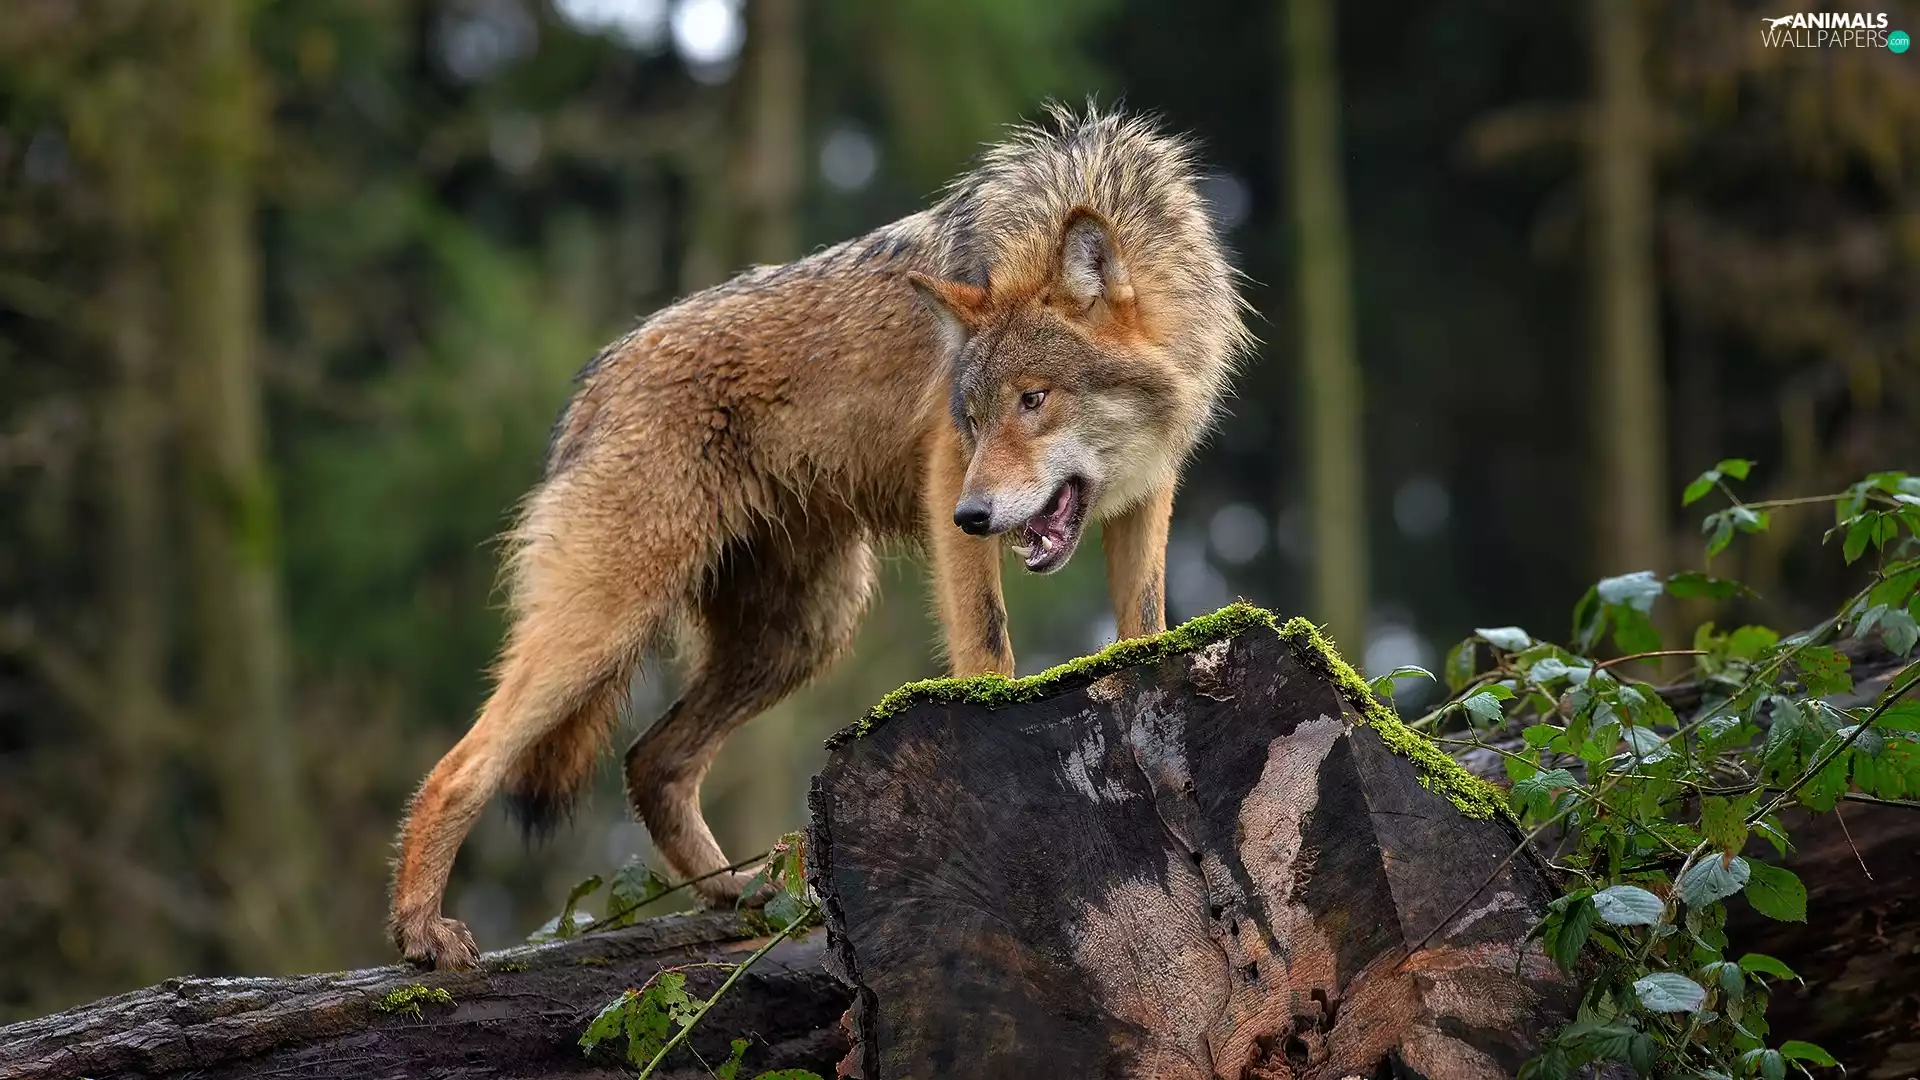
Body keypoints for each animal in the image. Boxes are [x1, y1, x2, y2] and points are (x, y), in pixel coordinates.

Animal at [388, 104, 1253, 969]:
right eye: (972, 418)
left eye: (1034, 399)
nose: (972, 516)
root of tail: (594, 381)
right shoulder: (947, 473)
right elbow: (989, 647)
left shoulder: (1148, 495)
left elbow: (1145, 629)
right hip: (612, 625)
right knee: (465, 766)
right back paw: (421, 931)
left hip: (802, 633)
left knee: (650, 761)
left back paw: (743, 897)